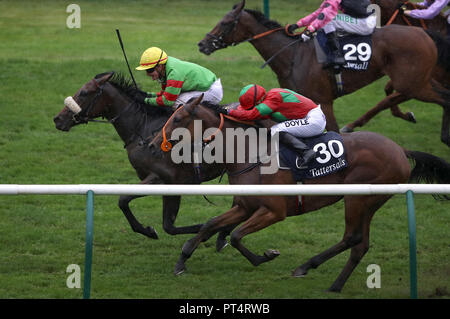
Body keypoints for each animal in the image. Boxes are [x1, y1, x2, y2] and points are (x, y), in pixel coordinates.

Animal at [52, 72, 229, 250]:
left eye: (84, 93)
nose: (57, 119)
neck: (142, 130)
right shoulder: (168, 183)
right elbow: (168, 226)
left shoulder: (162, 178)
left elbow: (123, 200)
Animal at [156, 95, 450, 296]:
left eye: (178, 119)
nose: (156, 143)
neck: (250, 155)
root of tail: (400, 149)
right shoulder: (244, 206)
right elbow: (209, 225)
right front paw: (181, 262)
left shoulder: (274, 211)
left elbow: (237, 235)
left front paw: (265, 256)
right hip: (369, 201)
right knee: (360, 244)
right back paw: (335, 284)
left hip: (358, 197)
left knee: (352, 237)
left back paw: (306, 266)